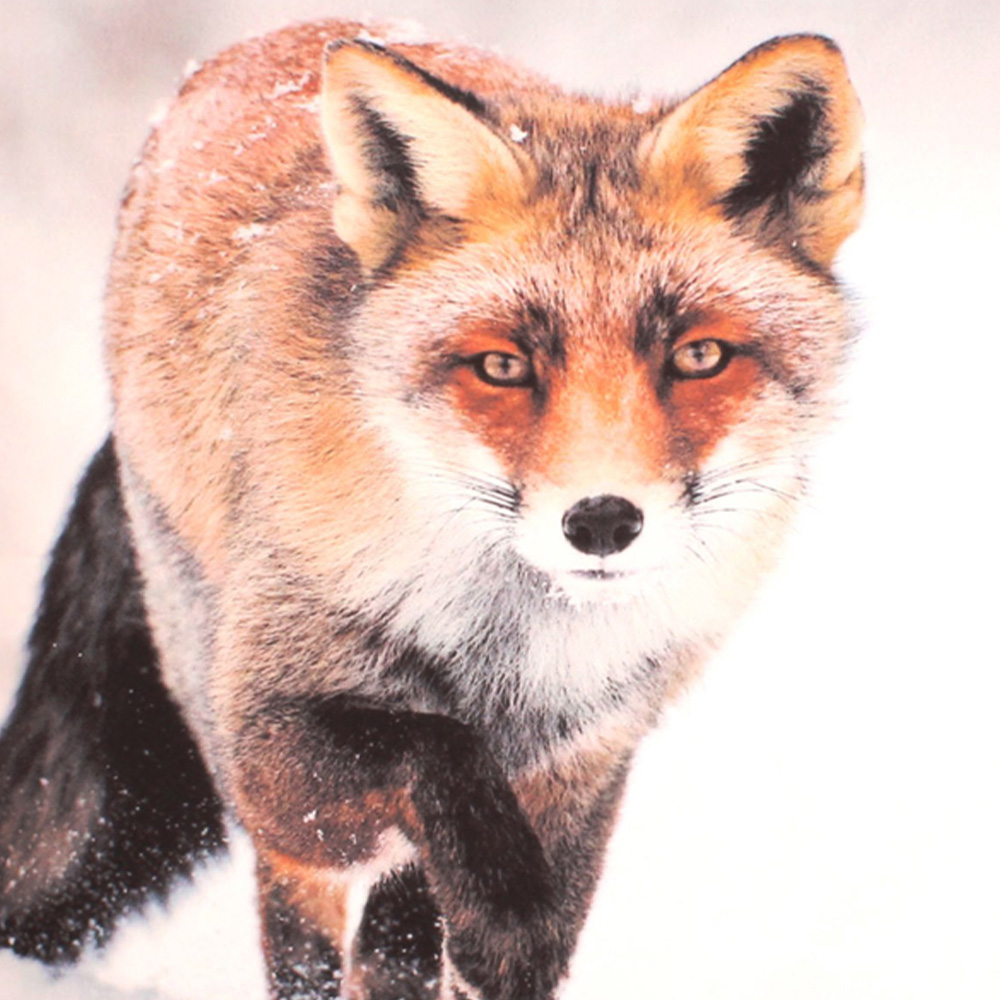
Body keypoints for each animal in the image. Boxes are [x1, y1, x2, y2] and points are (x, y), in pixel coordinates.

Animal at [0, 18, 863, 1000]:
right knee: (312, 925)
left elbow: (490, 886)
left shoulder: (589, 757)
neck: (508, 653)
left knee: (395, 935)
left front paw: (506, 929)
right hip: (213, 690)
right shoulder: (267, 736)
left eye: (699, 356)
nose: (602, 522)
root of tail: (257, 44)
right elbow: (435, 751)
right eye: (502, 366)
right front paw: (507, 914)